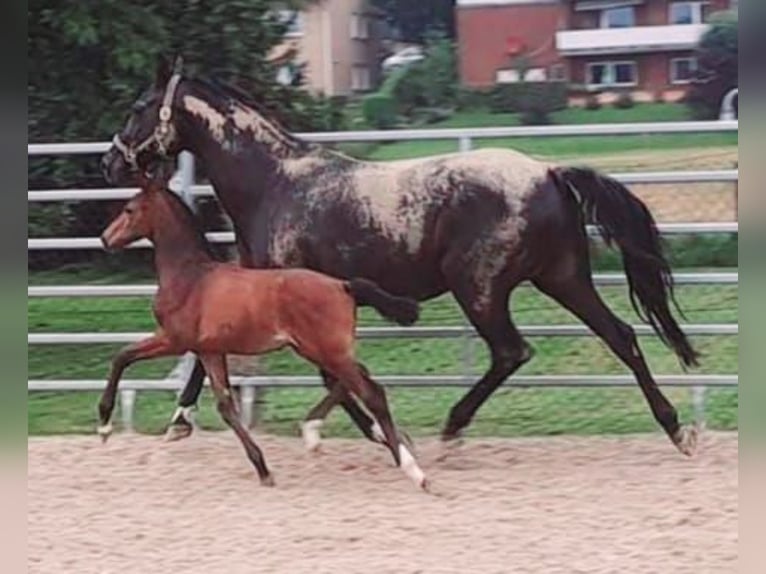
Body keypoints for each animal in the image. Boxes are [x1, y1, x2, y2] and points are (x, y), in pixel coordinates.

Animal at [102, 56, 704, 456]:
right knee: (620, 336)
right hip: (562, 277)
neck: (274, 184)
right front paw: (179, 418)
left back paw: (452, 426)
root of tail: (548, 173)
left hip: (480, 288)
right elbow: (212, 356)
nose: (111, 161)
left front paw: (365, 431)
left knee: (512, 351)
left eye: (138, 107)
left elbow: (324, 373)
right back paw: (676, 428)